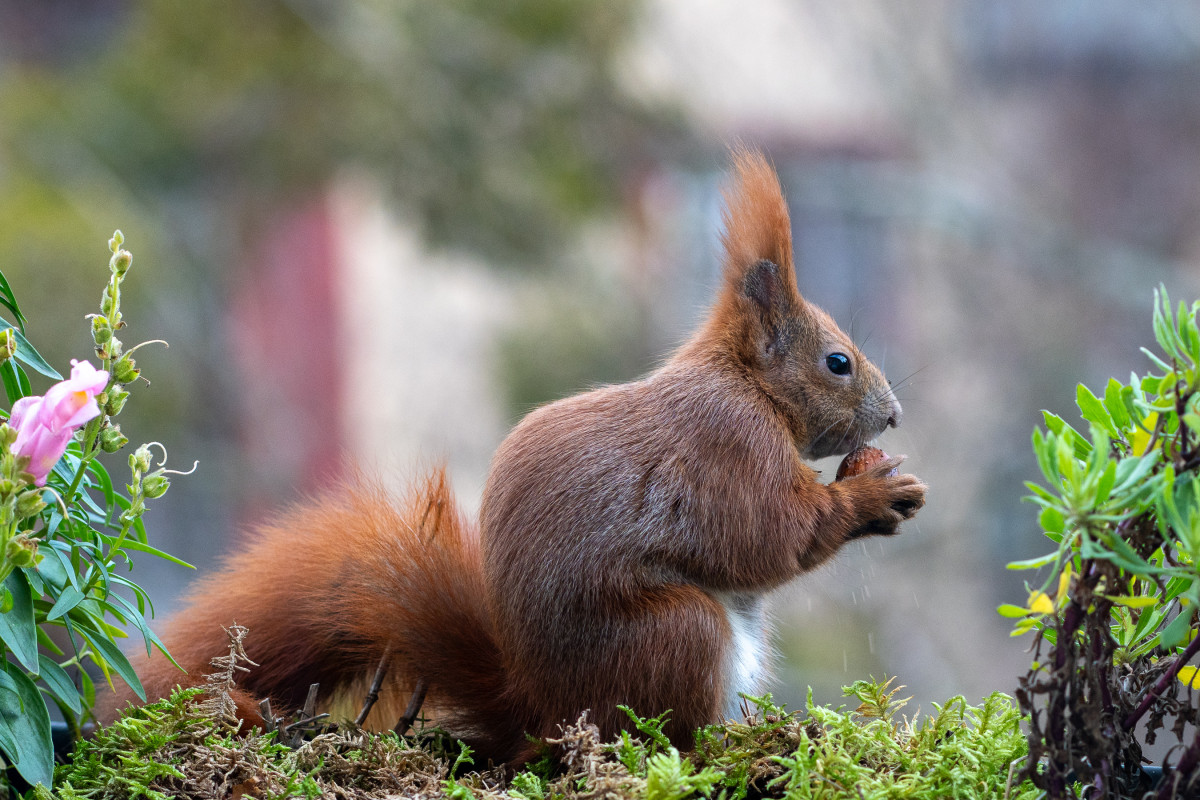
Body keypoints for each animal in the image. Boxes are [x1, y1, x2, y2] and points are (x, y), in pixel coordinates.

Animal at [105, 148, 926, 762]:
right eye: (837, 363)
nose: (894, 413)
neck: (744, 383)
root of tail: (534, 708)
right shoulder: (727, 446)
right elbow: (769, 537)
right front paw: (872, 498)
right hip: (681, 634)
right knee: (656, 731)